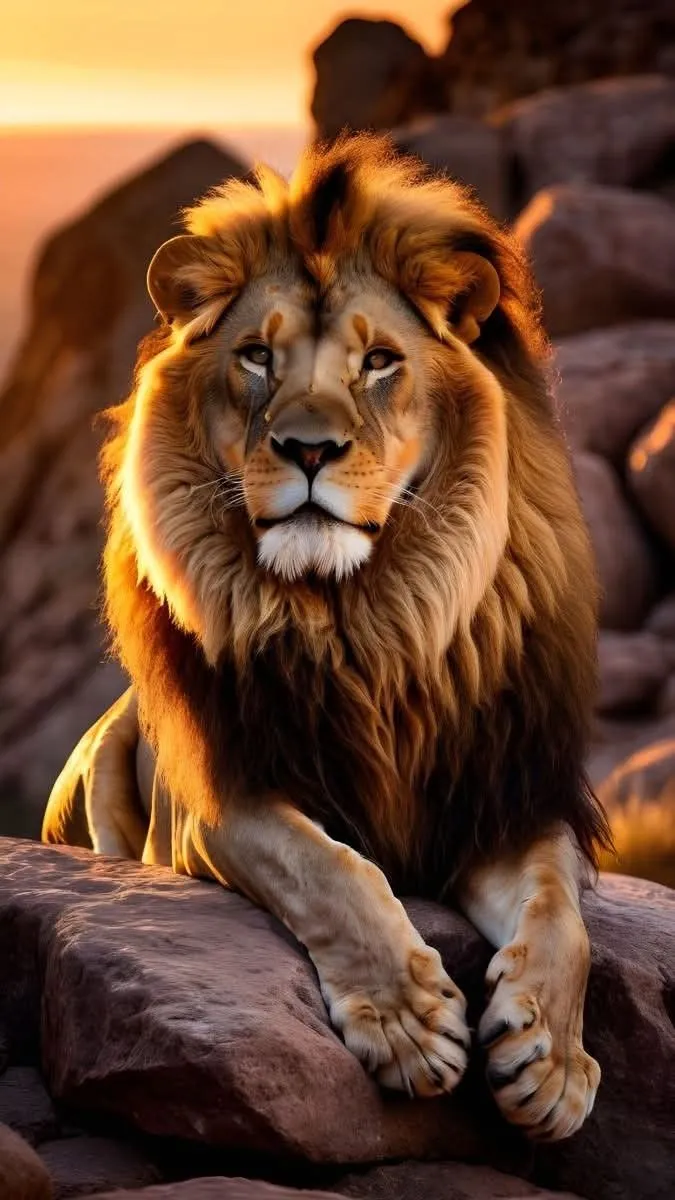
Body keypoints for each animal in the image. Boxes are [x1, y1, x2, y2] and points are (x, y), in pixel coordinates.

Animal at [43, 134, 611, 1140]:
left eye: (378, 361)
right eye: (256, 358)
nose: (308, 449)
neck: (363, 624)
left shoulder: (504, 791)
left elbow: (559, 915)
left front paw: (550, 1060)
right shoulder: (220, 798)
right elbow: (326, 867)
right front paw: (409, 1023)